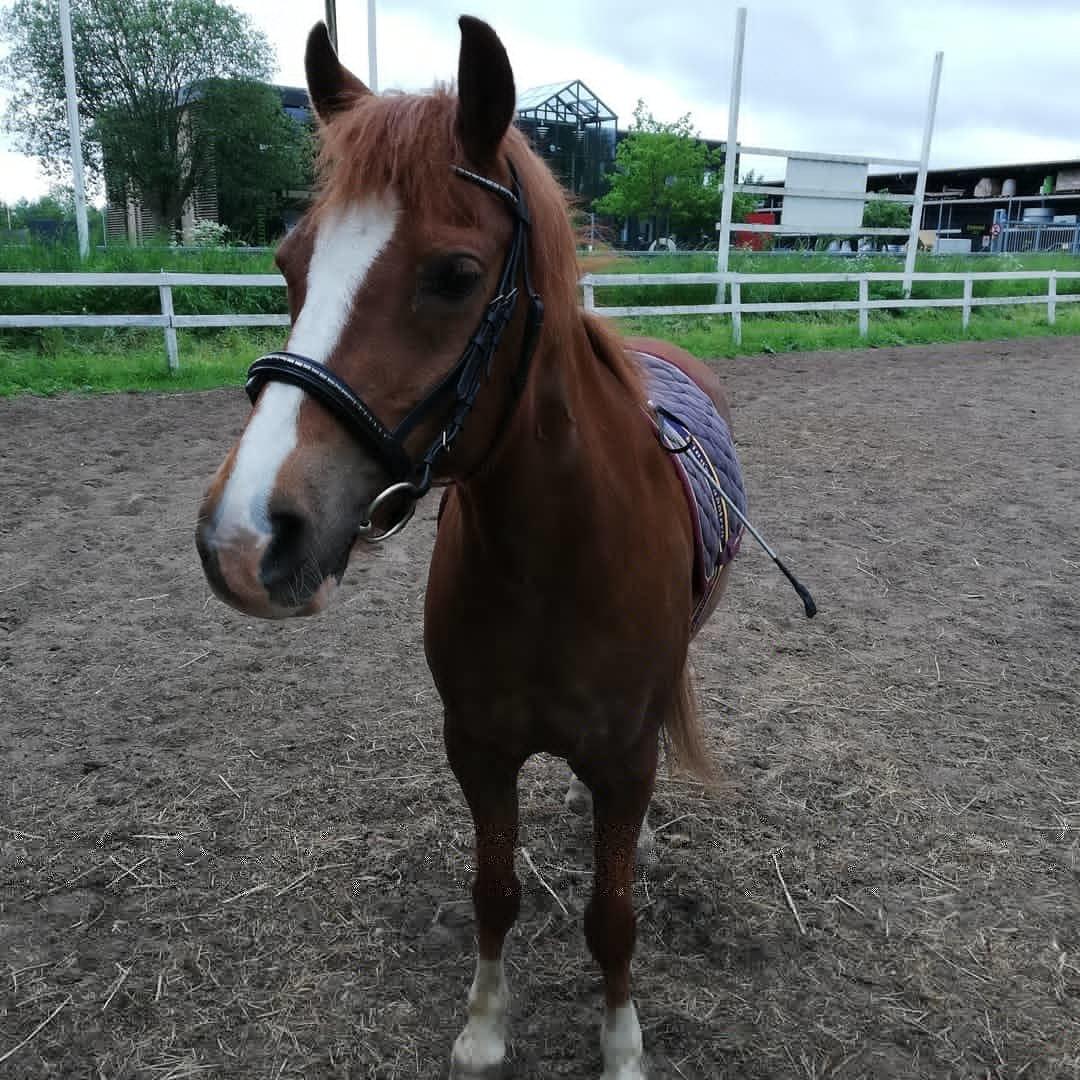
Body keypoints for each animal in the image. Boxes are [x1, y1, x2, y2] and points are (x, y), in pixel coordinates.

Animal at [195, 17, 748, 1078]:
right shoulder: (478, 749)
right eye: (289, 264)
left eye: (452, 276)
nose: (244, 538)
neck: (556, 562)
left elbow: (612, 916)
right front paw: (487, 1028)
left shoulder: (621, 759)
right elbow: (495, 892)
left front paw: (621, 1044)